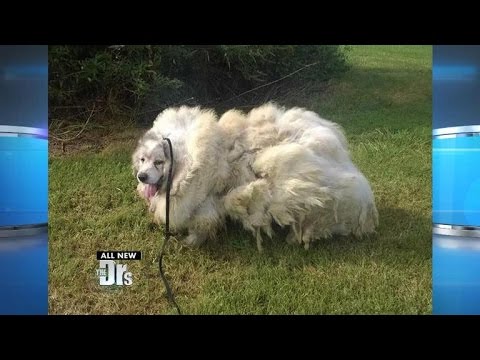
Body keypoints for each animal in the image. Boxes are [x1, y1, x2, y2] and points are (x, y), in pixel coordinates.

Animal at [132, 102, 378, 252]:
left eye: (159, 162)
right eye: (142, 159)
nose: (142, 177)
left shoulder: (206, 203)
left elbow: (202, 224)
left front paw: (191, 242)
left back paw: (295, 238)